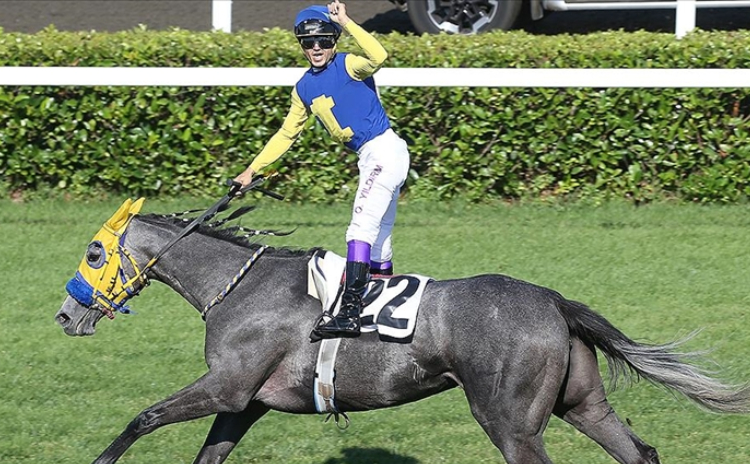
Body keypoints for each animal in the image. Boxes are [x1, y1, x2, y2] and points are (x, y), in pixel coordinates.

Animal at [55, 198, 750, 464]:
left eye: (93, 252)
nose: (64, 315)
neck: (238, 285)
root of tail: (554, 300)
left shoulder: (227, 385)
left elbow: (144, 416)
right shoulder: (245, 401)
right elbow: (208, 451)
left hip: (510, 419)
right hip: (580, 403)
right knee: (639, 451)